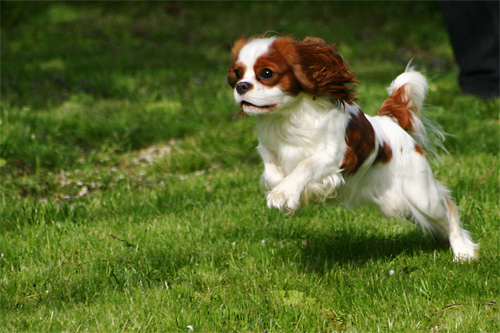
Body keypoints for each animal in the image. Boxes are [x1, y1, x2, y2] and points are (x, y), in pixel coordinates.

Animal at [227, 35, 476, 260]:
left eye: (267, 73)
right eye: (237, 73)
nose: (241, 86)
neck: (288, 117)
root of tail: (391, 122)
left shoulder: (337, 154)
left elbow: (306, 164)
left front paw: (283, 194)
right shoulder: (267, 149)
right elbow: (272, 172)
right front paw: (289, 195)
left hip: (422, 195)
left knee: (449, 212)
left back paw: (464, 252)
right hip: (401, 205)